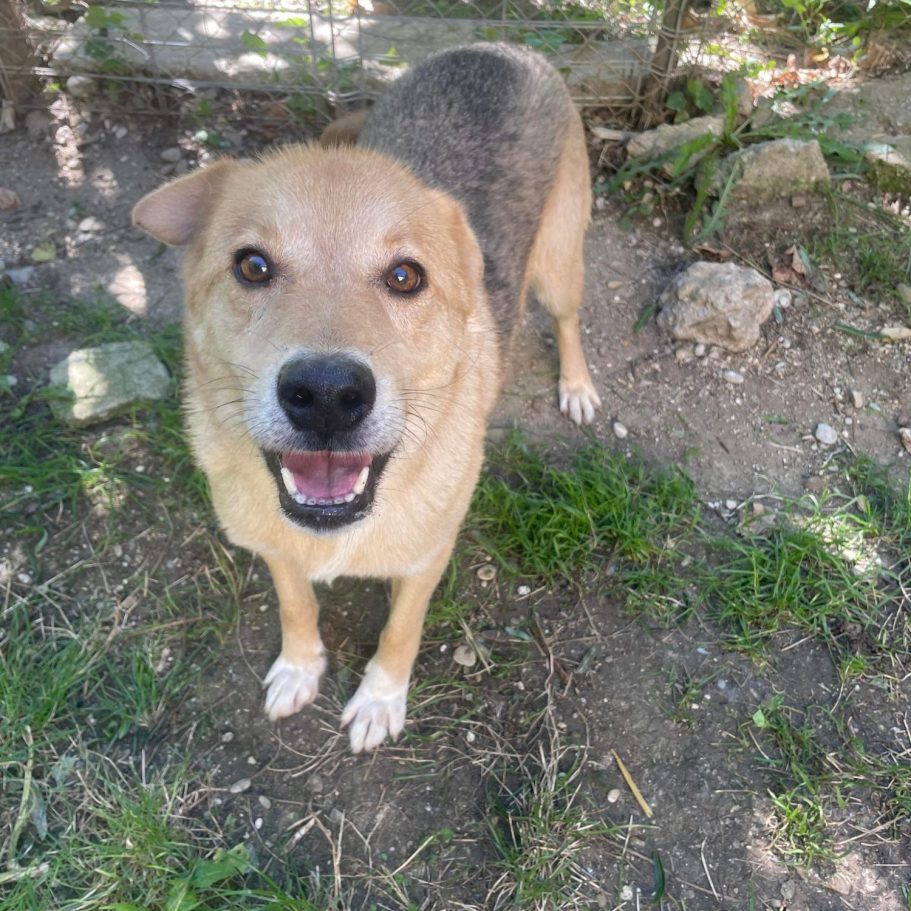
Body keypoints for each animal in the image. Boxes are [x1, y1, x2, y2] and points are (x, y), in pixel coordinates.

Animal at [132, 42, 601, 752]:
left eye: (406, 277)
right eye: (252, 266)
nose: (327, 394)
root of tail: (502, 47)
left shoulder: (428, 556)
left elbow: (400, 631)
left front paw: (381, 698)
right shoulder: (276, 544)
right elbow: (296, 604)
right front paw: (300, 666)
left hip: (557, 263)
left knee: (569, 319)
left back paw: (576, 385)